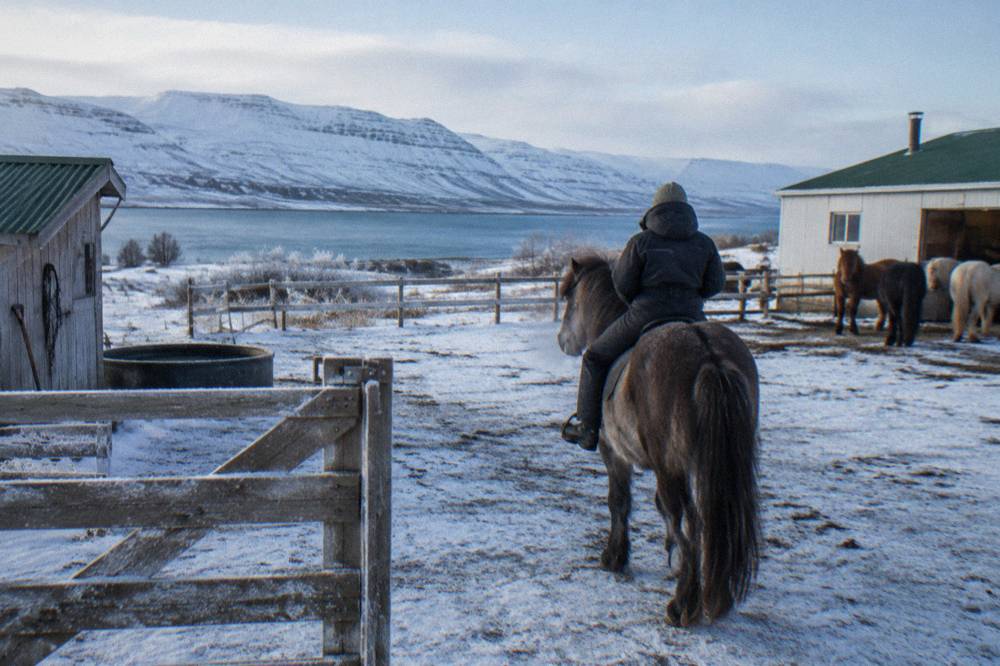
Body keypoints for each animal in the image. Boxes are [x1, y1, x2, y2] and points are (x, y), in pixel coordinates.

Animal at [556, 255, 761, 627]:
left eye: (569, 298)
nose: (562, 340)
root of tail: (708, 355)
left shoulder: (615, 453)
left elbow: (619, 502)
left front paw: (614, 557)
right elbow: (661, 510)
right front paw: (673, 559)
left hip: (670, 468)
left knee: (693, 524)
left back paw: (683, 605)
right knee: (711, 522)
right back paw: (715, 596)